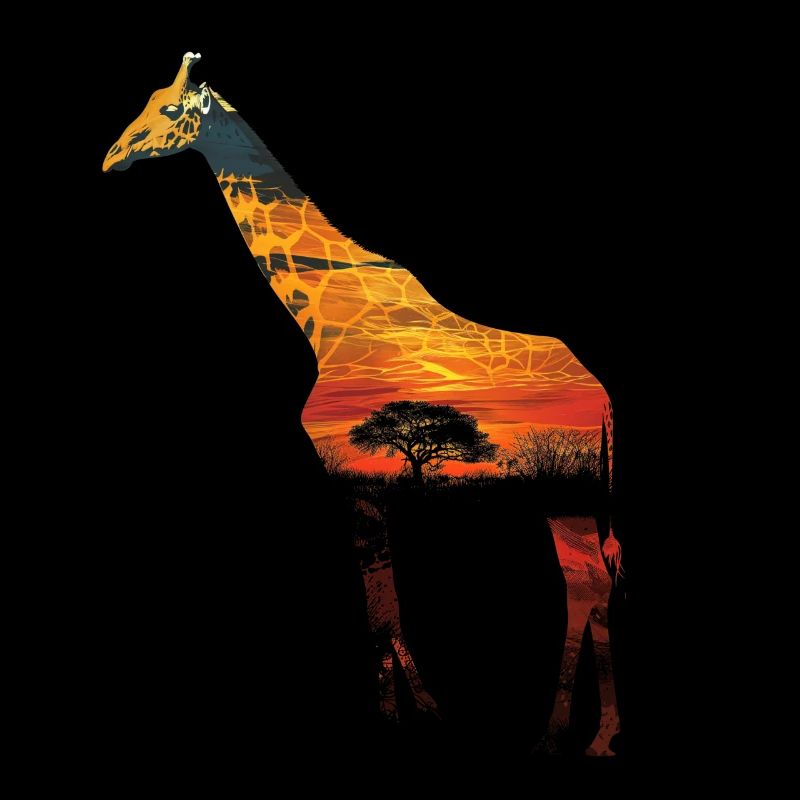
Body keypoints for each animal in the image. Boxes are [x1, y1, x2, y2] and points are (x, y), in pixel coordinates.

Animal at [103, 52, 624, 754]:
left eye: (168, 109)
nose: (112, 157)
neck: (323, 325)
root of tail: (602, 394)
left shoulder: (353, 483)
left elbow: (379, 608)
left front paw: (411, 716)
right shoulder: (371, 489)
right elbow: (384, 602)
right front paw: (417, 713)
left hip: (572, 489)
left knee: (592, 589)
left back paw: (584, 737)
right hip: (565, 497)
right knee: (589, 587)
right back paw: (578, 735)